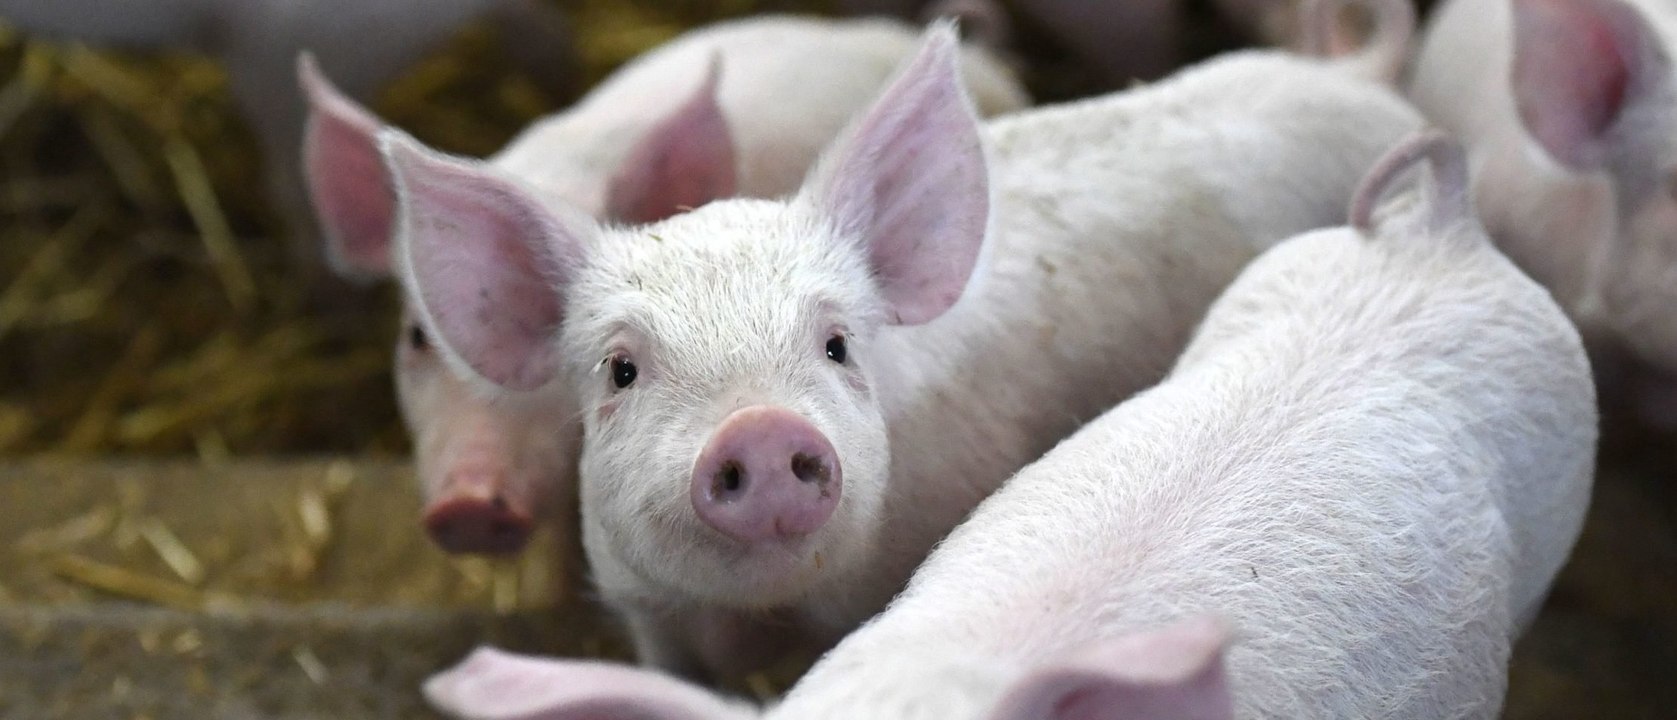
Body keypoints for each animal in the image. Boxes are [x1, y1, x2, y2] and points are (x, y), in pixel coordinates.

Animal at [389, 2, 1425, 682]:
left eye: (837, 346)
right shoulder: (652, 620)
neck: (764, 617)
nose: (761, 429)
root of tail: (1355, 79)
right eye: (621, 369)